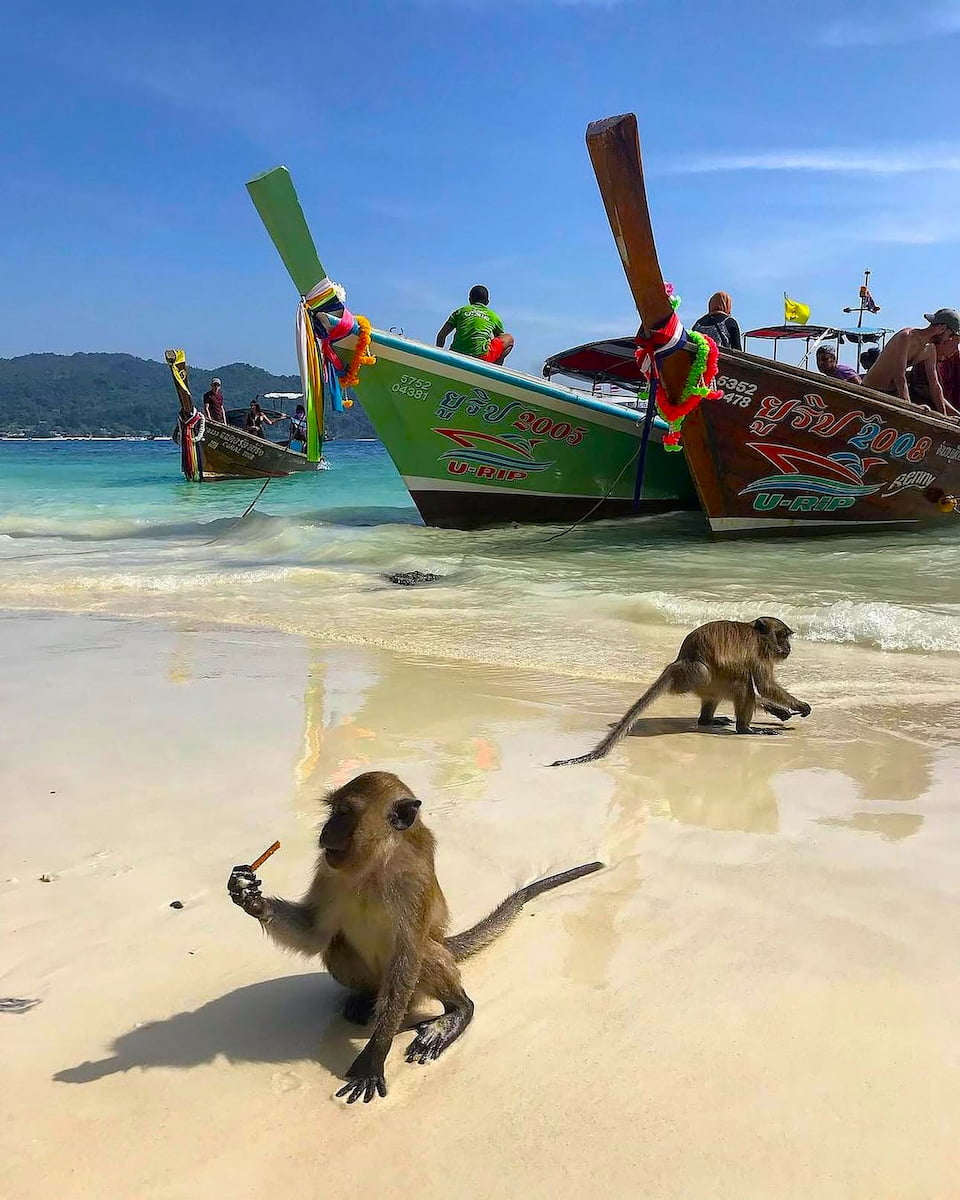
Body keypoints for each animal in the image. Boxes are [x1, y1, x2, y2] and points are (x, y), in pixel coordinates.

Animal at [227, 770, 603, 1104]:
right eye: (333, 811)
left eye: (344, 813)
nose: (326, 831)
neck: (375, 866)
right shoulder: (328, 869)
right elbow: (315, 933)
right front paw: (250, 896)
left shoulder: (412, 883)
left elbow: (408, 955)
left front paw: (374, 1056)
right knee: (338, 947)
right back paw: (364, 997)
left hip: (420, 984)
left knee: (428, 955)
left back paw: (458, 1011)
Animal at [550, 617, 811, 766]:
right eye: (783, 637)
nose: (788, 647)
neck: (756, 635)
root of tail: (680, 664)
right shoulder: (758, 654)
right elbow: (764, 685)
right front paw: (798, 706)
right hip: (707, 678)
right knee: (743, 683)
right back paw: (745, 729)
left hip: (706, 683)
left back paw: (708, 721)